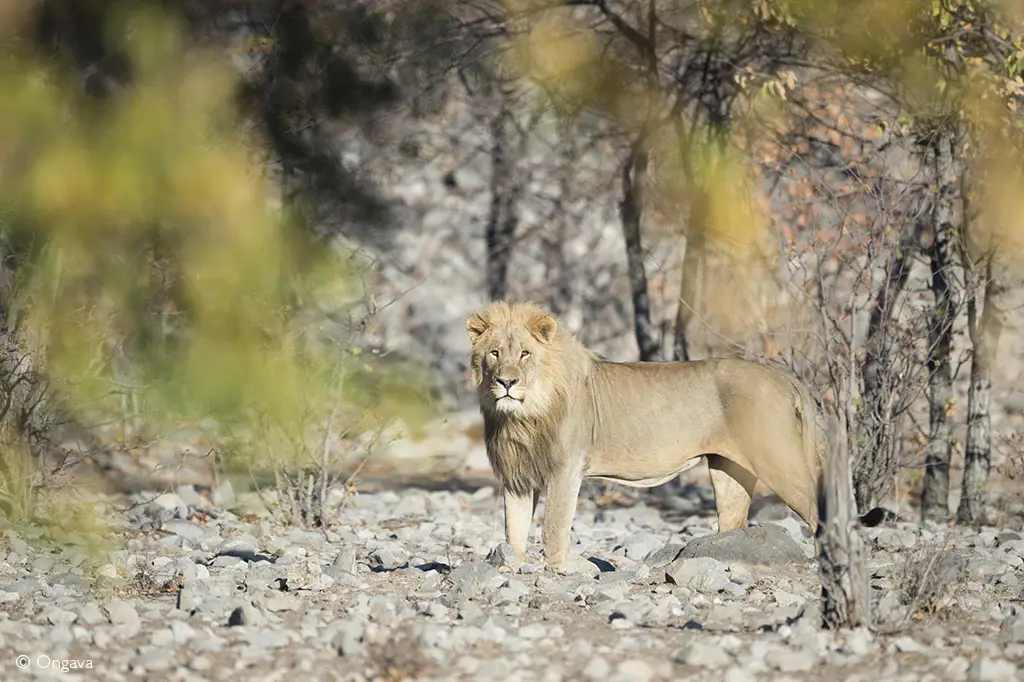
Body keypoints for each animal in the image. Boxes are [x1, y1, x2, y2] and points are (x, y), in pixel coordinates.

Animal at [466, 299, 878, 572]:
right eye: (494, 354)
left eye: (525, 354)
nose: (506, 382)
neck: (522, 415)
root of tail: (786, 377)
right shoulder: (517, 477)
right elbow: (514, 530)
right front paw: (512, 569)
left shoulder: (565, 470)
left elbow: (553, 528)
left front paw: (553, 572)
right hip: (730, 471)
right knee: (734, 521)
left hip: (780, 461)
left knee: (821, 514)